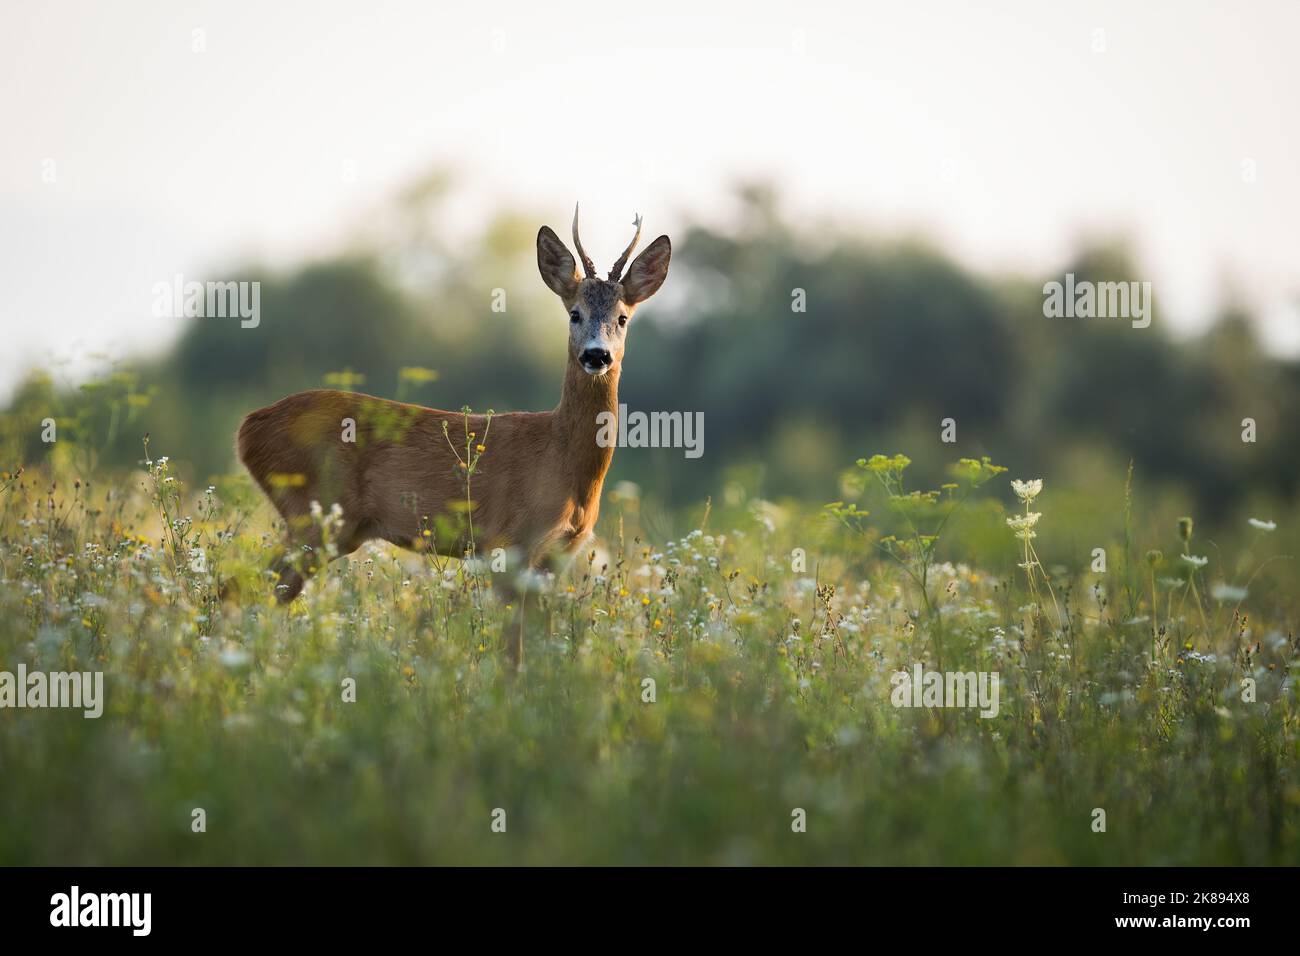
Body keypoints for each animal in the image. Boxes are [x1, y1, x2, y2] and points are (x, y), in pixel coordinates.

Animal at [236, 206, 671, 657]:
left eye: (622, 317)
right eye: (574, 313)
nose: (596, 355)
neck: (563, 460)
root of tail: (248, 427)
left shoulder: (557, 555)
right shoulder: (508, 543)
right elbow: (513, 649)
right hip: (314, 514)